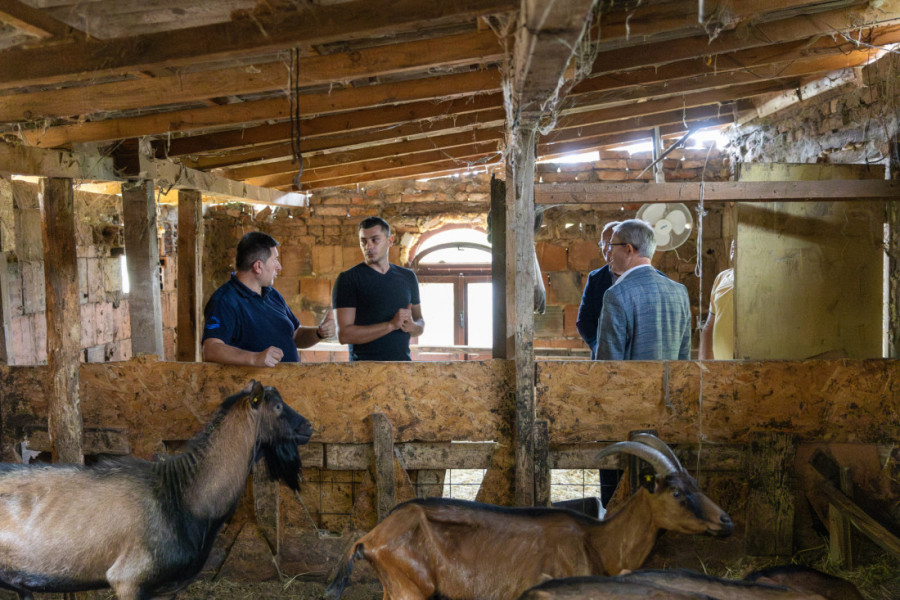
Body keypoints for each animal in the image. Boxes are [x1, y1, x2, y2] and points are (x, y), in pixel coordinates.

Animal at [324, 434, 732, 600]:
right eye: (677, 493)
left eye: (696, 484)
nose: (726, 522)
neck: (598, 541)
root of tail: (369, 537)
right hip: (410, 589)